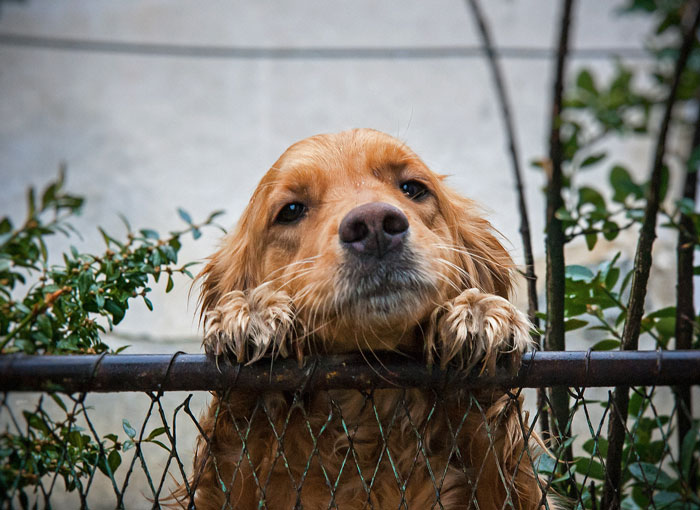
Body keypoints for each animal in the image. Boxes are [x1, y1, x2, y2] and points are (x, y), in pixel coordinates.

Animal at [179, 128, 540, 510]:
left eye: (413, 188)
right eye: (290, 210)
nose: (374, 224)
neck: (365, 416)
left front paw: (478, 313)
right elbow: (237, 438)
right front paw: (252, 312)